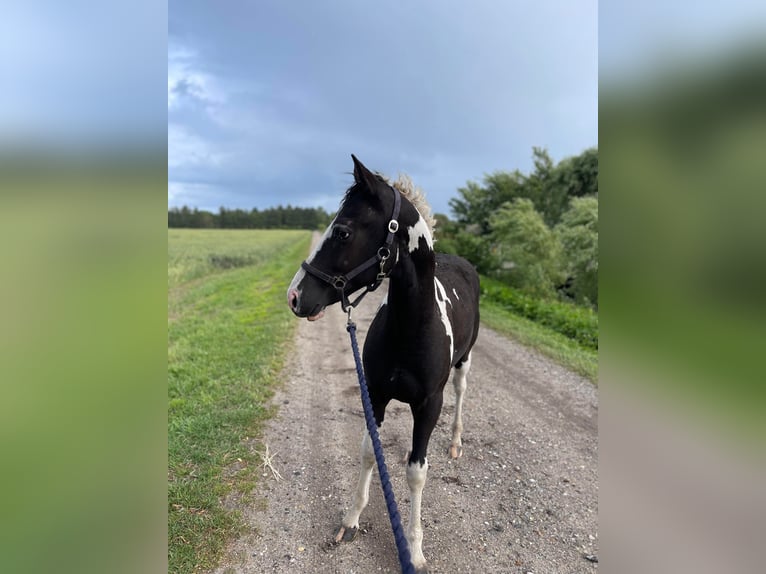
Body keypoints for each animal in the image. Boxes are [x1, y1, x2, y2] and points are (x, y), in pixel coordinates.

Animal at [286, 155, 480, 572]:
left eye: (343, 231)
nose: (294, 296)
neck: (410, 328)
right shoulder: (375, 394)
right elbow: (368, 451)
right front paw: (350, 520)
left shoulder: (429, 406)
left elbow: (416, 472)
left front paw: (415, 549)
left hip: (465, 363)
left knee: (461, 393)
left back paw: (455, 442)